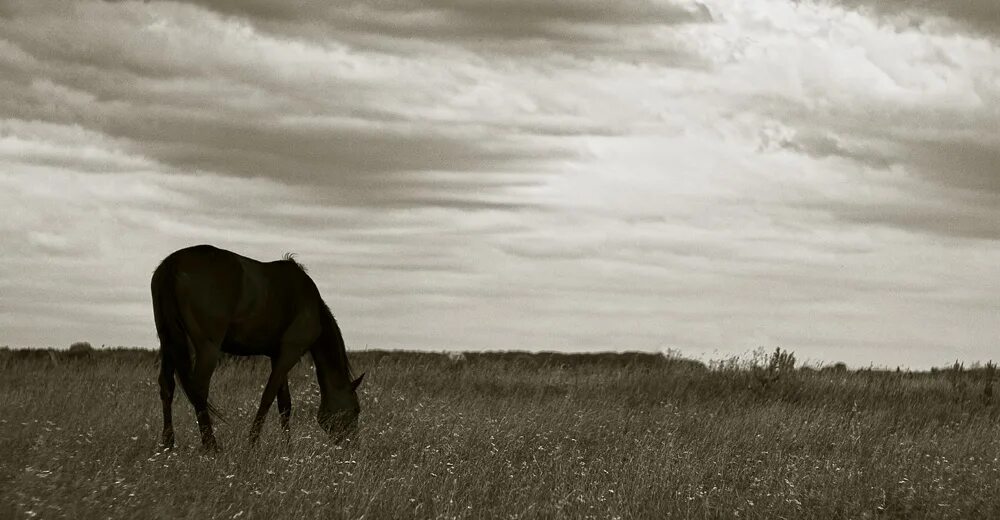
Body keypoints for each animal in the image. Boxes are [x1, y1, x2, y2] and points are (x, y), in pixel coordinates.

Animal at [150, 245, 366, 450]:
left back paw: (168, 443)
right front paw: (253, 443)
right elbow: (268, 397)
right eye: (356, 409)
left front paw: (287, 447)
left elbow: (284, 403)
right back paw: (211, 446)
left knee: (167, 386)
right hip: (207, 348)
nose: (353, 444)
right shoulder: (290, 353)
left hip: (169, 341)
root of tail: (171, 264)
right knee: (199, 389)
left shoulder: (277, 355)